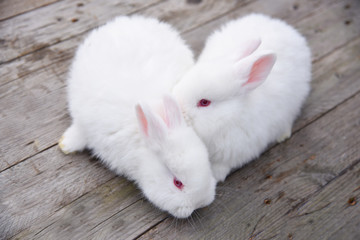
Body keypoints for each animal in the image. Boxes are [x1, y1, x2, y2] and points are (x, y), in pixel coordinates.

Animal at [59, 14, 217, 218]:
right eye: (177, 183)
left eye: (207, 164)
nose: (201, 203)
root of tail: (128, 20)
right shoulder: (88, 123)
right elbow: (79, 132)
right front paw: (65, 145)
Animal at [173, 13, 310, 182]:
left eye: (204, 102)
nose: (175, 107)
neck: (231, 117)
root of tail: (288, 30)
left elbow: (222, 166)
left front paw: (215, 177)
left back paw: (283, 136)